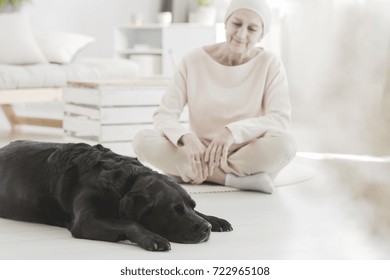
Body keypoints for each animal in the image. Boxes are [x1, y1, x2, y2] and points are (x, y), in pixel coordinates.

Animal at [0, 141, 232, 250]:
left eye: (192, 205)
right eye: (174, 211)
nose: (206, 229)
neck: (126, 182)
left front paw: (214, 220)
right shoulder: (87, 220)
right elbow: (130, 223)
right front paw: (152, 238)